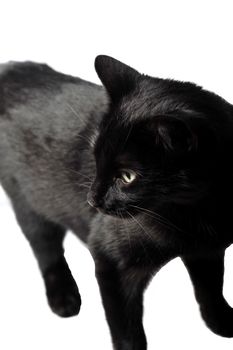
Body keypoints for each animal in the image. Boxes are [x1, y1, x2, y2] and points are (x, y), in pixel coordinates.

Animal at [0, 56, 233, 348]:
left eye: (127, 176)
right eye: (95, 156)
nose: (92, 199)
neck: (194, 211)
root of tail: (11, 68)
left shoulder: (207, 250)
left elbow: (210, 288)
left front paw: (221, 321)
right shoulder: (111, 261)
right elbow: (126, 329)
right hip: (27, 199)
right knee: (45, 247)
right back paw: (63, 297)